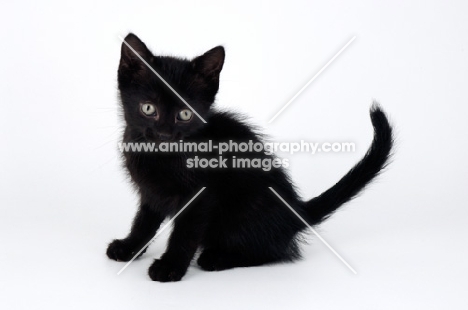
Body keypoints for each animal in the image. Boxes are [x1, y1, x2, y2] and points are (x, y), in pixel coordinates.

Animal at [105, 33, 392, 280]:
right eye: (148, 108)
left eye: (185, 114)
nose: (164, 135)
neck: (162, 158)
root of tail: (294, 212)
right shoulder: (149, 191)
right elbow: (144, 221)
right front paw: (130, 247)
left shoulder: (201, 196)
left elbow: (185, 233)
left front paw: (170, 267)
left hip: (245, 209)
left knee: (270, 252)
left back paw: (217, 257)